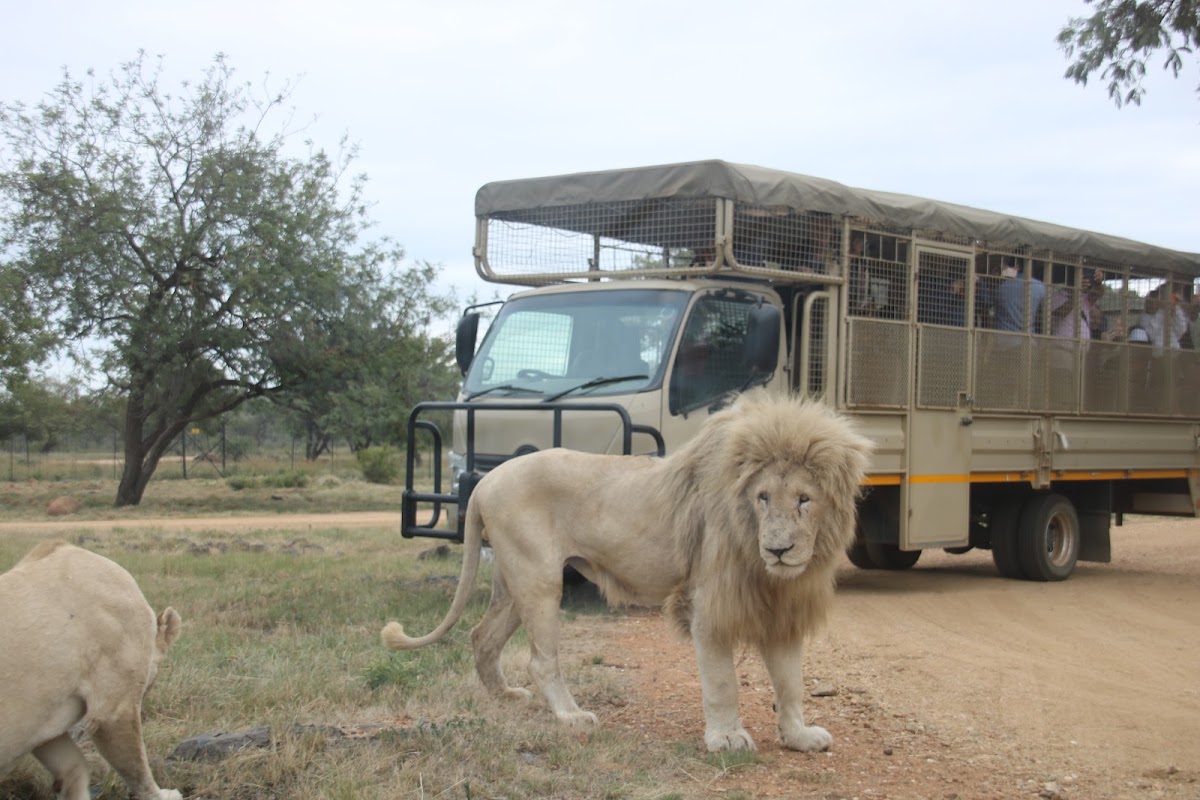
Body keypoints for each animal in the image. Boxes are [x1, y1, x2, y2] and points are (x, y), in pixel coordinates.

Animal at [382, 390, 872, 752]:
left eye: (805, 500)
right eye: (763, 497)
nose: (779, 549)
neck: (763, 563)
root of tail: (485, 480)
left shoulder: (781, 608)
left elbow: (790, 682)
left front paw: (798, 736)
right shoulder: (708, 605)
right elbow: (723, 681)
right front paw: (727, 738)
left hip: (513, 580)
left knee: (481, 636)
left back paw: (504, 697)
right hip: (539, 578)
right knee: (542, 659)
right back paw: (571, 716)